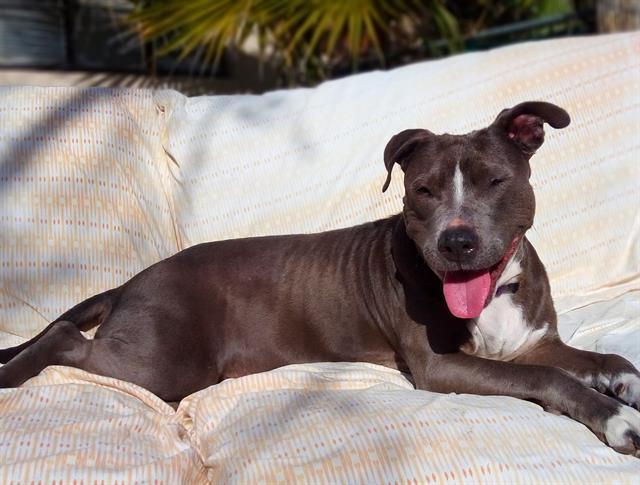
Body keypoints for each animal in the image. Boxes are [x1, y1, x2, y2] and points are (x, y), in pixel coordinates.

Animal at [1, 101, 640, 454]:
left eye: (495, 181)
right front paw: (615, 420)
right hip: (165, 363)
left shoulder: (535, 341)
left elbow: (598, 359)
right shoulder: (443, 367)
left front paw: (624, 383)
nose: (456, 242)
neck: (495, 289)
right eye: (423, 191)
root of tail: (132, 281)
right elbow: (550, 379)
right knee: (65, 337)